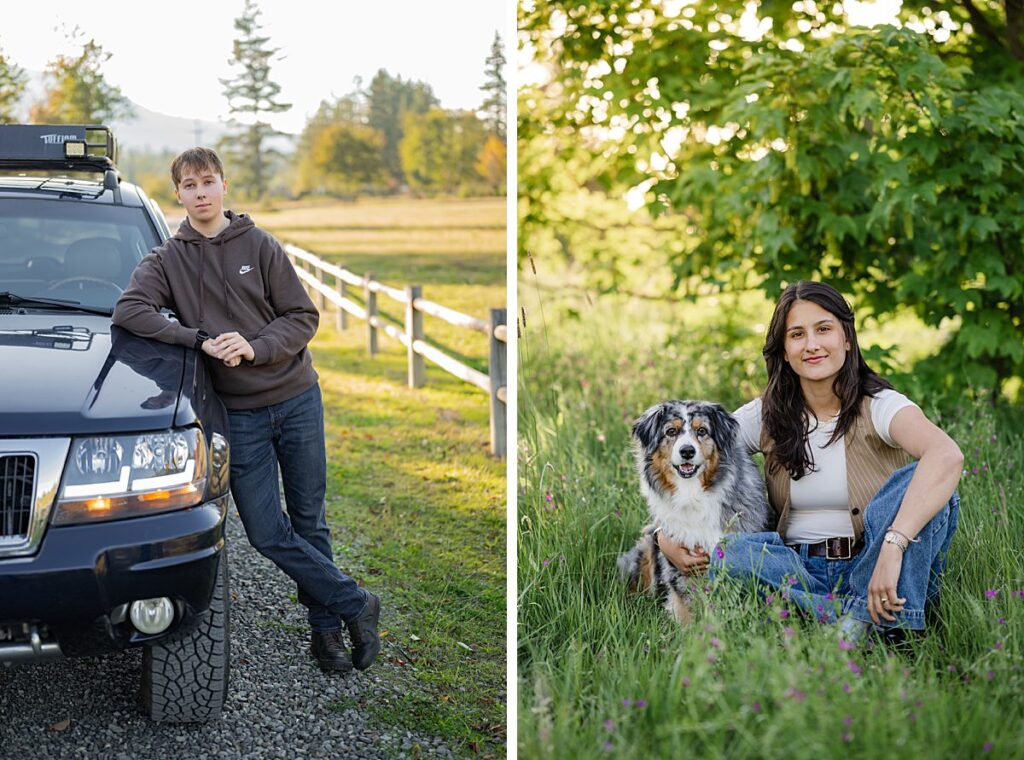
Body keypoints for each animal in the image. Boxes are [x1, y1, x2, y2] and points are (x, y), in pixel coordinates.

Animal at [614, 401, 770, 622]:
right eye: (671, 431)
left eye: (702, 431)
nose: (687, 451)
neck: (692, 493)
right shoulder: (677, 560)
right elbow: (685, 607)